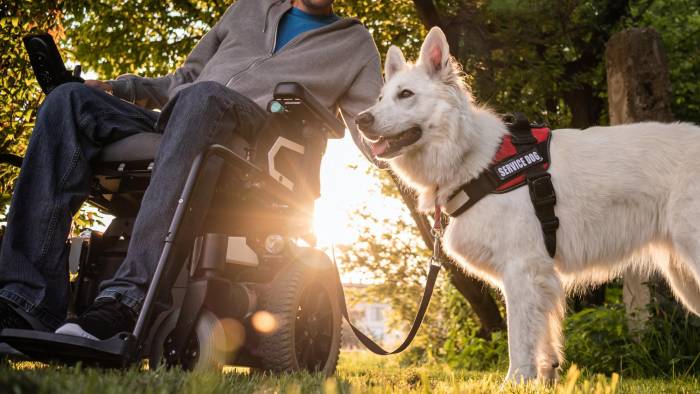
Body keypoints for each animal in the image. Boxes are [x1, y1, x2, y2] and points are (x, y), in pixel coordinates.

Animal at [358, 26, 700, 382]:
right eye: (381, 98)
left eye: (406, 94)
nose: (360, 120)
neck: (474, 158)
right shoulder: (539, 278)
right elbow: (544, 343)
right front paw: (544, 379)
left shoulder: (521, 271)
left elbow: (519, 339)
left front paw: (515, 381)